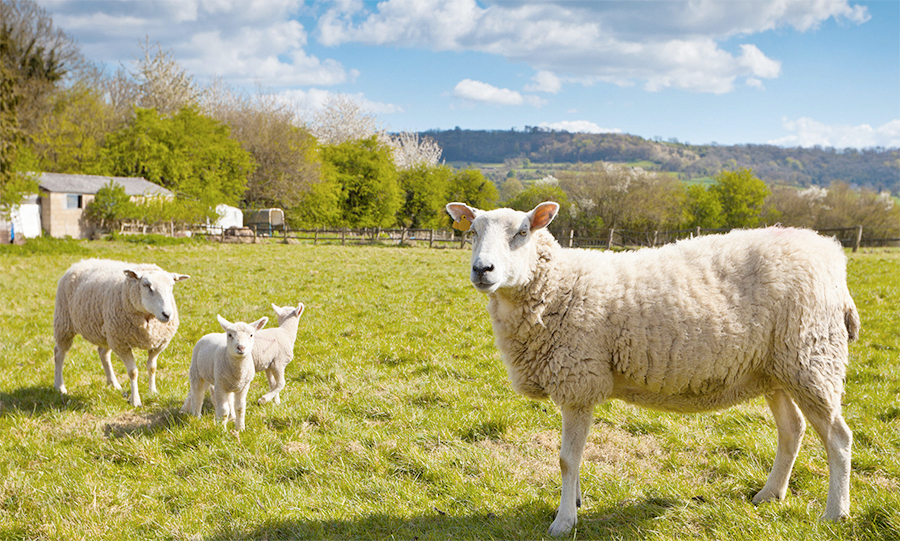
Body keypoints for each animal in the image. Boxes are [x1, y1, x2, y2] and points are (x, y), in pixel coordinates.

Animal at [52, 258, 190, 404]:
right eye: (146, 285)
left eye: (171, 286)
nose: (167, 314)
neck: (148, 318)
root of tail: (82, 261)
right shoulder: (122, 344)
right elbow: (133, 372)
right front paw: (135, 400)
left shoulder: (158, 344)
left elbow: (152, 367)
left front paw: (152, 392)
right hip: (64, 323)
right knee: (59, 353)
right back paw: (59, 386)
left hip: (107, 332)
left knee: (103, 353)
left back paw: (113, 383)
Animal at [446, 201, 860, 536]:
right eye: (472, 231)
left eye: (522, 232)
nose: (482, 269)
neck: (559, 287)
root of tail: (830, 253)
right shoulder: (577, 386)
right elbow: (573, 458)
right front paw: (574, 502)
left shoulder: (579, 380)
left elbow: (567, 459)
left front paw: (563, 522)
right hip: (776, 370)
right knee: (792, 430)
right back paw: (769, 494)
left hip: (812, 359)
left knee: (838, 438)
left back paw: (835, 514)